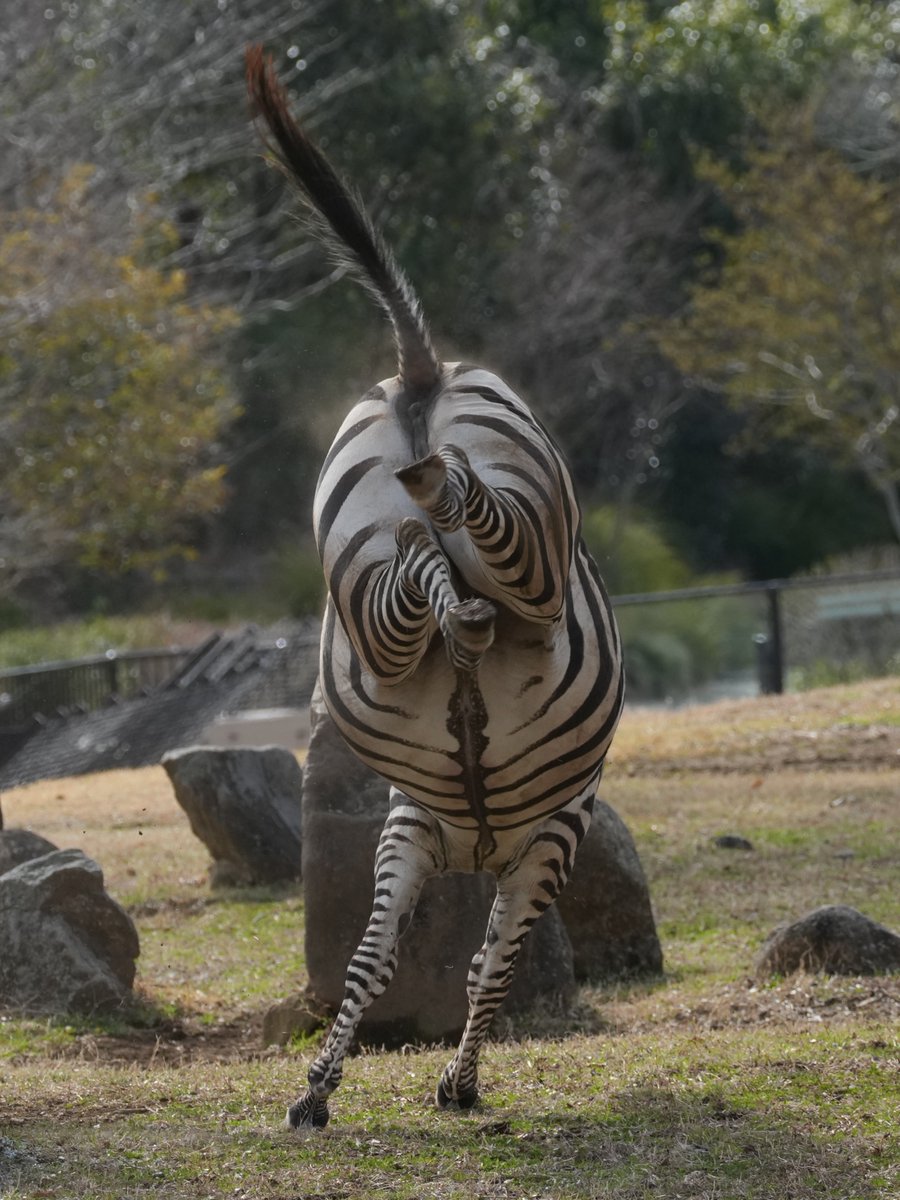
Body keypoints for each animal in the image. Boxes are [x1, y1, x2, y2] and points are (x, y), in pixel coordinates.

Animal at [246, 47, 625, 1130]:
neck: (472, 847)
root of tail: (425, 371)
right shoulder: (554, 834)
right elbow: (489, 966)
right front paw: (457, 1081)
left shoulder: (404, 831)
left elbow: (374, 963)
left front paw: (318, 1090)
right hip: (537, 555)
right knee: (471, 523)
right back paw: (467, 595)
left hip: (363, 587)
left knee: (414, 550)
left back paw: (452, 596)